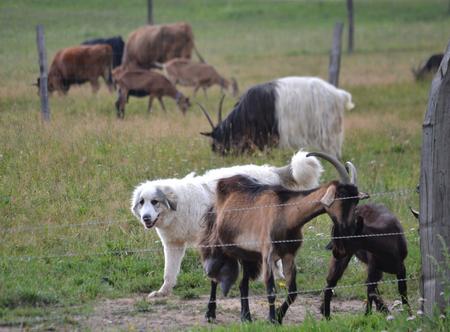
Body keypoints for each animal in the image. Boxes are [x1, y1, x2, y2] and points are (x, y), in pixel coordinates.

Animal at [131, 151, 324, 298]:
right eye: (142, 202)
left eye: (155, 202)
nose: (146, 218)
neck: (178, 207)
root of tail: (269, 170)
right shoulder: (173, 245)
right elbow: (169, 273)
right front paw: (163, 292)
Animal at [199, 153, 368, 324]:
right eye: (341, 195)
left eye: (356, 200)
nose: (350, 229)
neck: (286, 214)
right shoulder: (267, 253)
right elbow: (271, 290)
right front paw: (272, 319)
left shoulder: (289, 254)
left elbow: (293, 292)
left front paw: (279, 317)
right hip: (217, 242)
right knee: (214, 276)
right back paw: (210, 314)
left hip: (247, 253)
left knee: (243, 283)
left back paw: (246, 317)